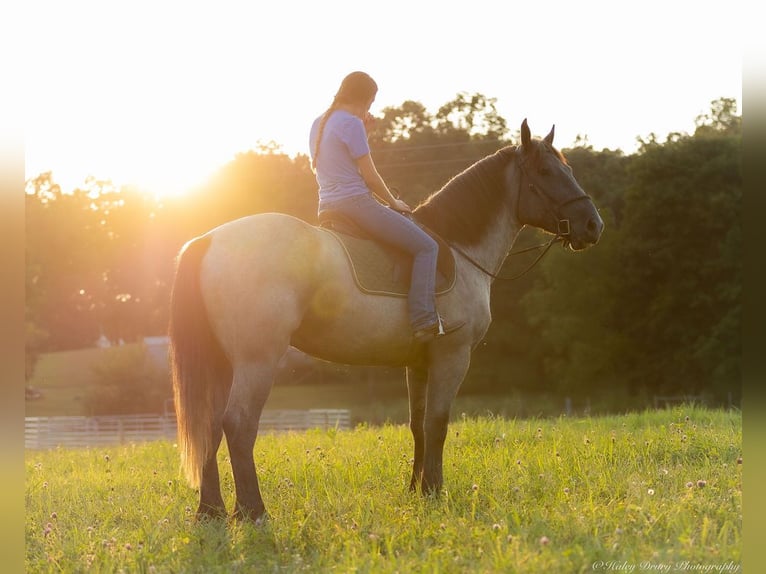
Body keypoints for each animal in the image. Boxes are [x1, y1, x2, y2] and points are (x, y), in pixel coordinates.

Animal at [168, 119, 608, 524]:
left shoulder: (419, 362)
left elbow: (417, 425)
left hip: (222, 363)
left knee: (208, 426)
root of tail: (207, 240)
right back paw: (253, 510)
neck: (458, 248)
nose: (593, 225)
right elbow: (438, 423)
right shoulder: (453, 355)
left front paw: (416, 490)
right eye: (547, 172)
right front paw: (435, 490)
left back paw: (210, 511)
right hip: (256, 361)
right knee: (238, 424)